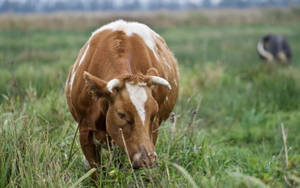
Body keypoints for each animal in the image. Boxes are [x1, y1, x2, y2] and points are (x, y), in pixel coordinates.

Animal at [65, 19, 178, 171]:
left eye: (153, 113)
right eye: (121, 114)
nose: (147, 160)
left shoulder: (153, 130)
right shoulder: (85, 132)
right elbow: (95, 170)